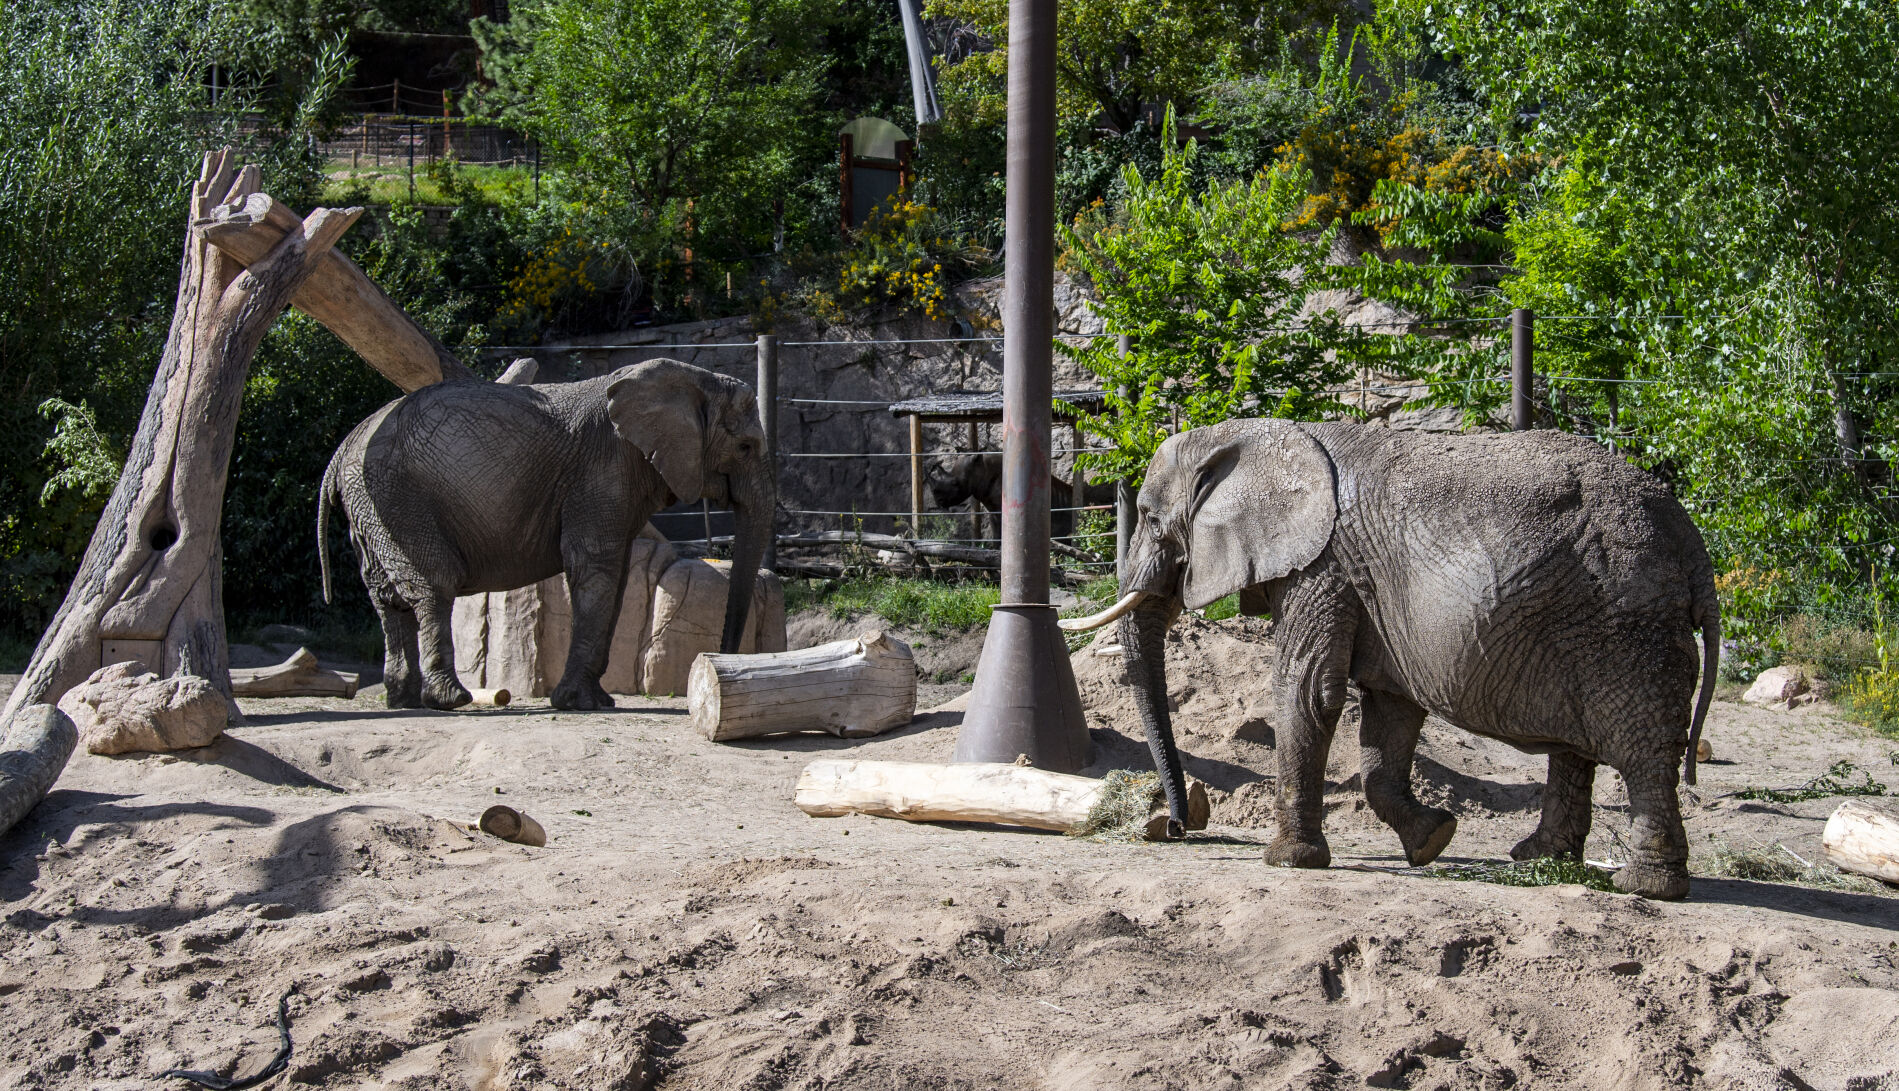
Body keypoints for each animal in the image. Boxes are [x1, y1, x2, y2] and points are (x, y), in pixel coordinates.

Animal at [319, 358, 774, 711]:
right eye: (746, 447)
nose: (714, 663)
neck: (693, 378)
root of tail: (342, 449)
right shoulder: (603, 467)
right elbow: (596, 567)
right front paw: (580, 704)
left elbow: (617, 577)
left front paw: (597, 702)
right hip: (398, 497)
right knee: (434, 584)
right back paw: (450, 699)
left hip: (370, 507)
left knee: (386, 596)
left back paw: (404, 700)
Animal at [1062, 420, 1719, 900]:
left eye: (1150, 518)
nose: (1178, 827)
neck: (1255, 436)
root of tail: (1691, 541)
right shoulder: (1364, 587)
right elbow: (1388, 713)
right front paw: (1432, 841)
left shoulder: (1321, 566)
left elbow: (1308, 690)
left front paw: (1288, 862)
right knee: (1576, 749)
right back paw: (1538, 860)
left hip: (1625, 624)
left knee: (1640, 749)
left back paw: (1644, 886)